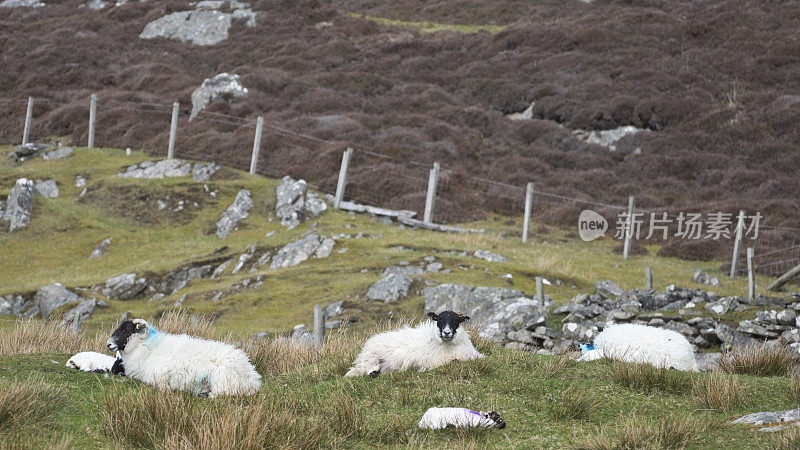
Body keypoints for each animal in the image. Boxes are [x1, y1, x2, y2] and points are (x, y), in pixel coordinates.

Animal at [106, 316, 260, 398]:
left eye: (125, 330)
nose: (109, 344)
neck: (147, 348)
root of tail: (252, 377)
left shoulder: (157, 375)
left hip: (222, 380)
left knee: (221, 393)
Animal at [342, 310, 482, 376]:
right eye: (439, 320)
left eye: (456, 320)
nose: (446, 332)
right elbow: (454, 361)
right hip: (372, 359)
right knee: (366, 371)